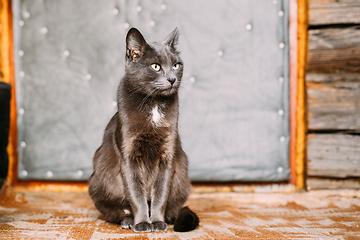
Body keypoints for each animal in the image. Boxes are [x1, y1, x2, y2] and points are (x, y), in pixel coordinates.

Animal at [88, 27, 198, 232]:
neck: (154, 103)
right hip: (98, 181)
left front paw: (157, 222)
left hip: (182, 180)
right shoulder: (128, 157)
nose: (172, 79)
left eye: (176, 65)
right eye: (156, 66)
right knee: (117, 211)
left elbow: (160, 195)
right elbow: (136, 195)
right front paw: (142, 223)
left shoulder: (167, 156)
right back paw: (129, 221)